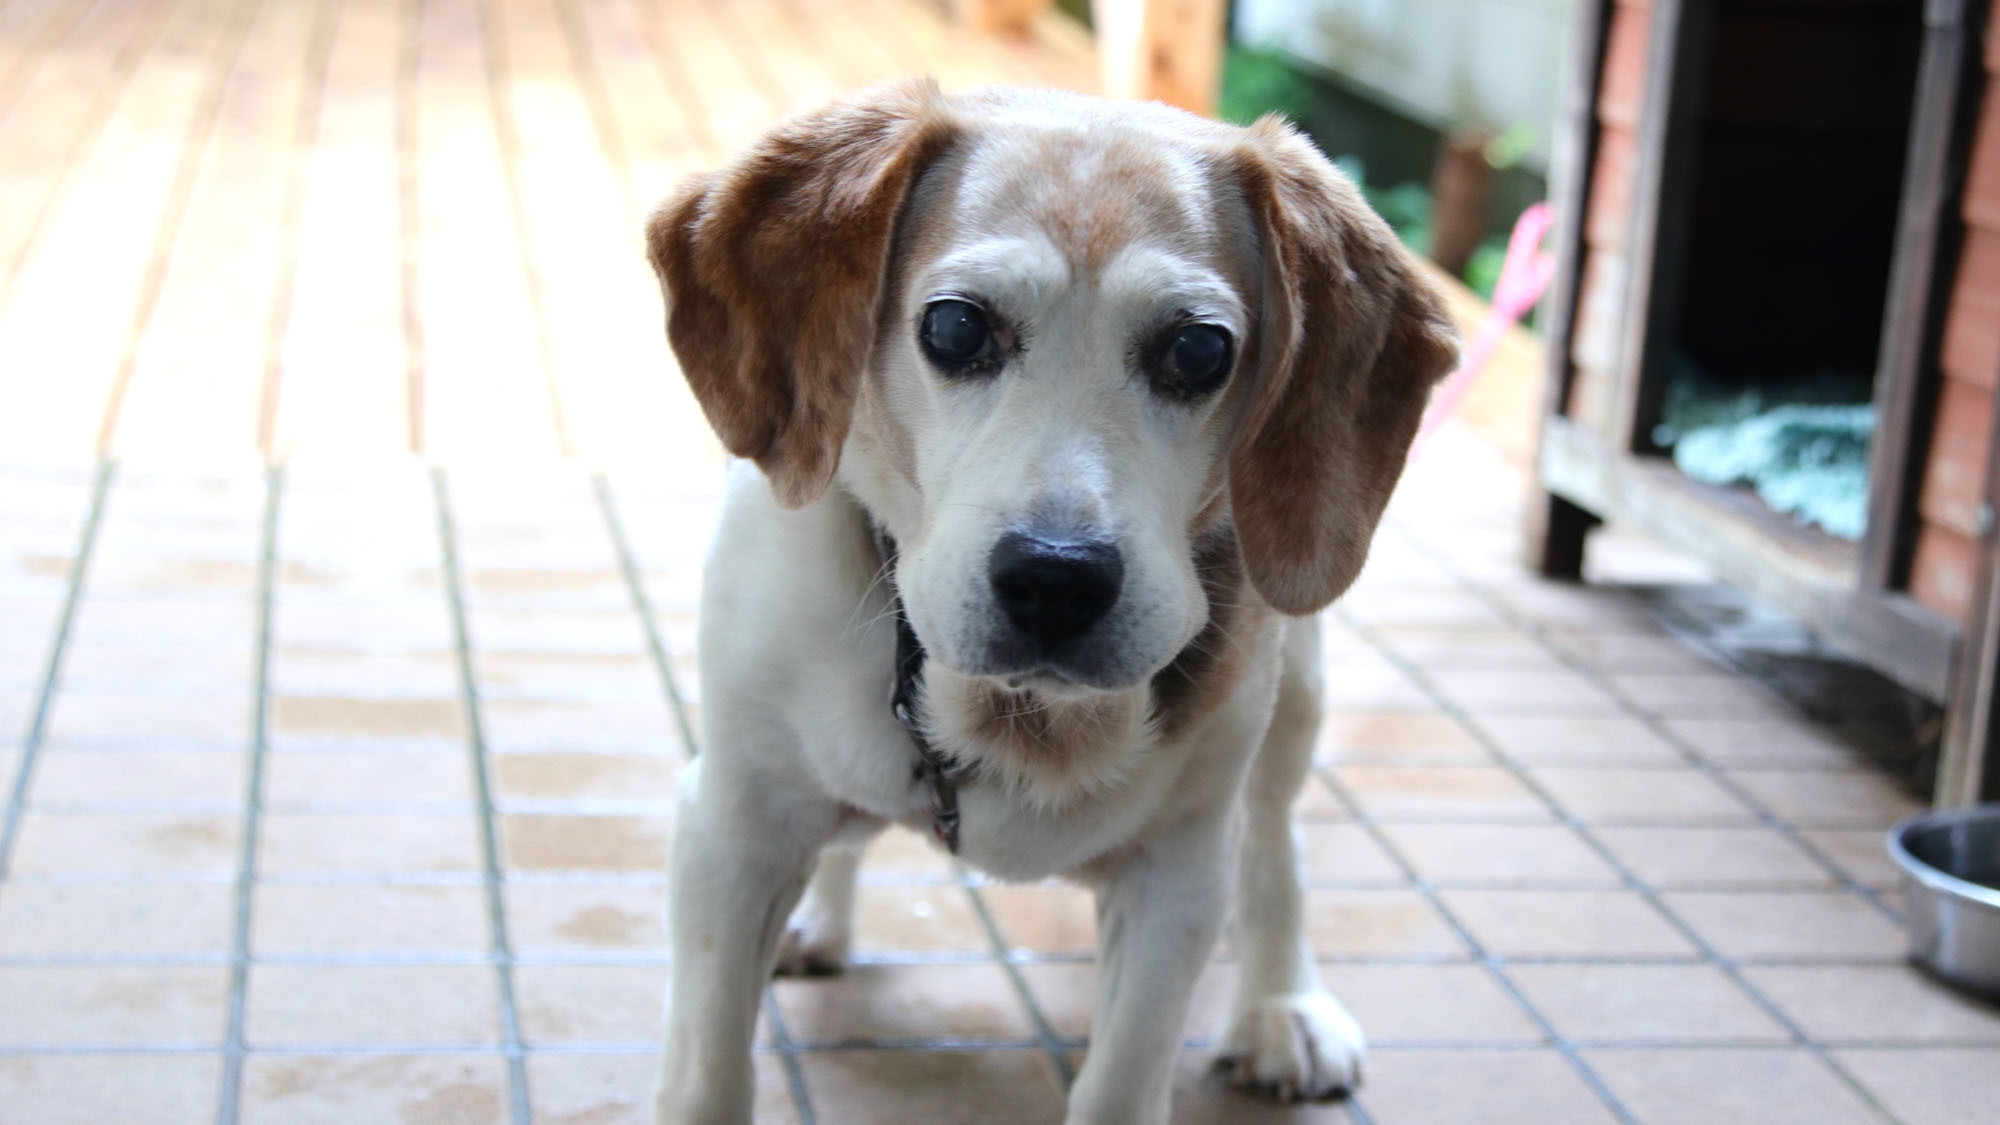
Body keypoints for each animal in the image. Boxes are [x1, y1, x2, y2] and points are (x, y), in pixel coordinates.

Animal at [648, 81, 1464, 1120]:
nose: (1056, 578)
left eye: (1199, 349)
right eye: (956, 328)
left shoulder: (1176, 879)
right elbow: (709, 1074)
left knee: (1276, 844)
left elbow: (1122, 1078)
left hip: (1296, 692)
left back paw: (1282, 1004)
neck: (1015, 718)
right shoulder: (730, 824)